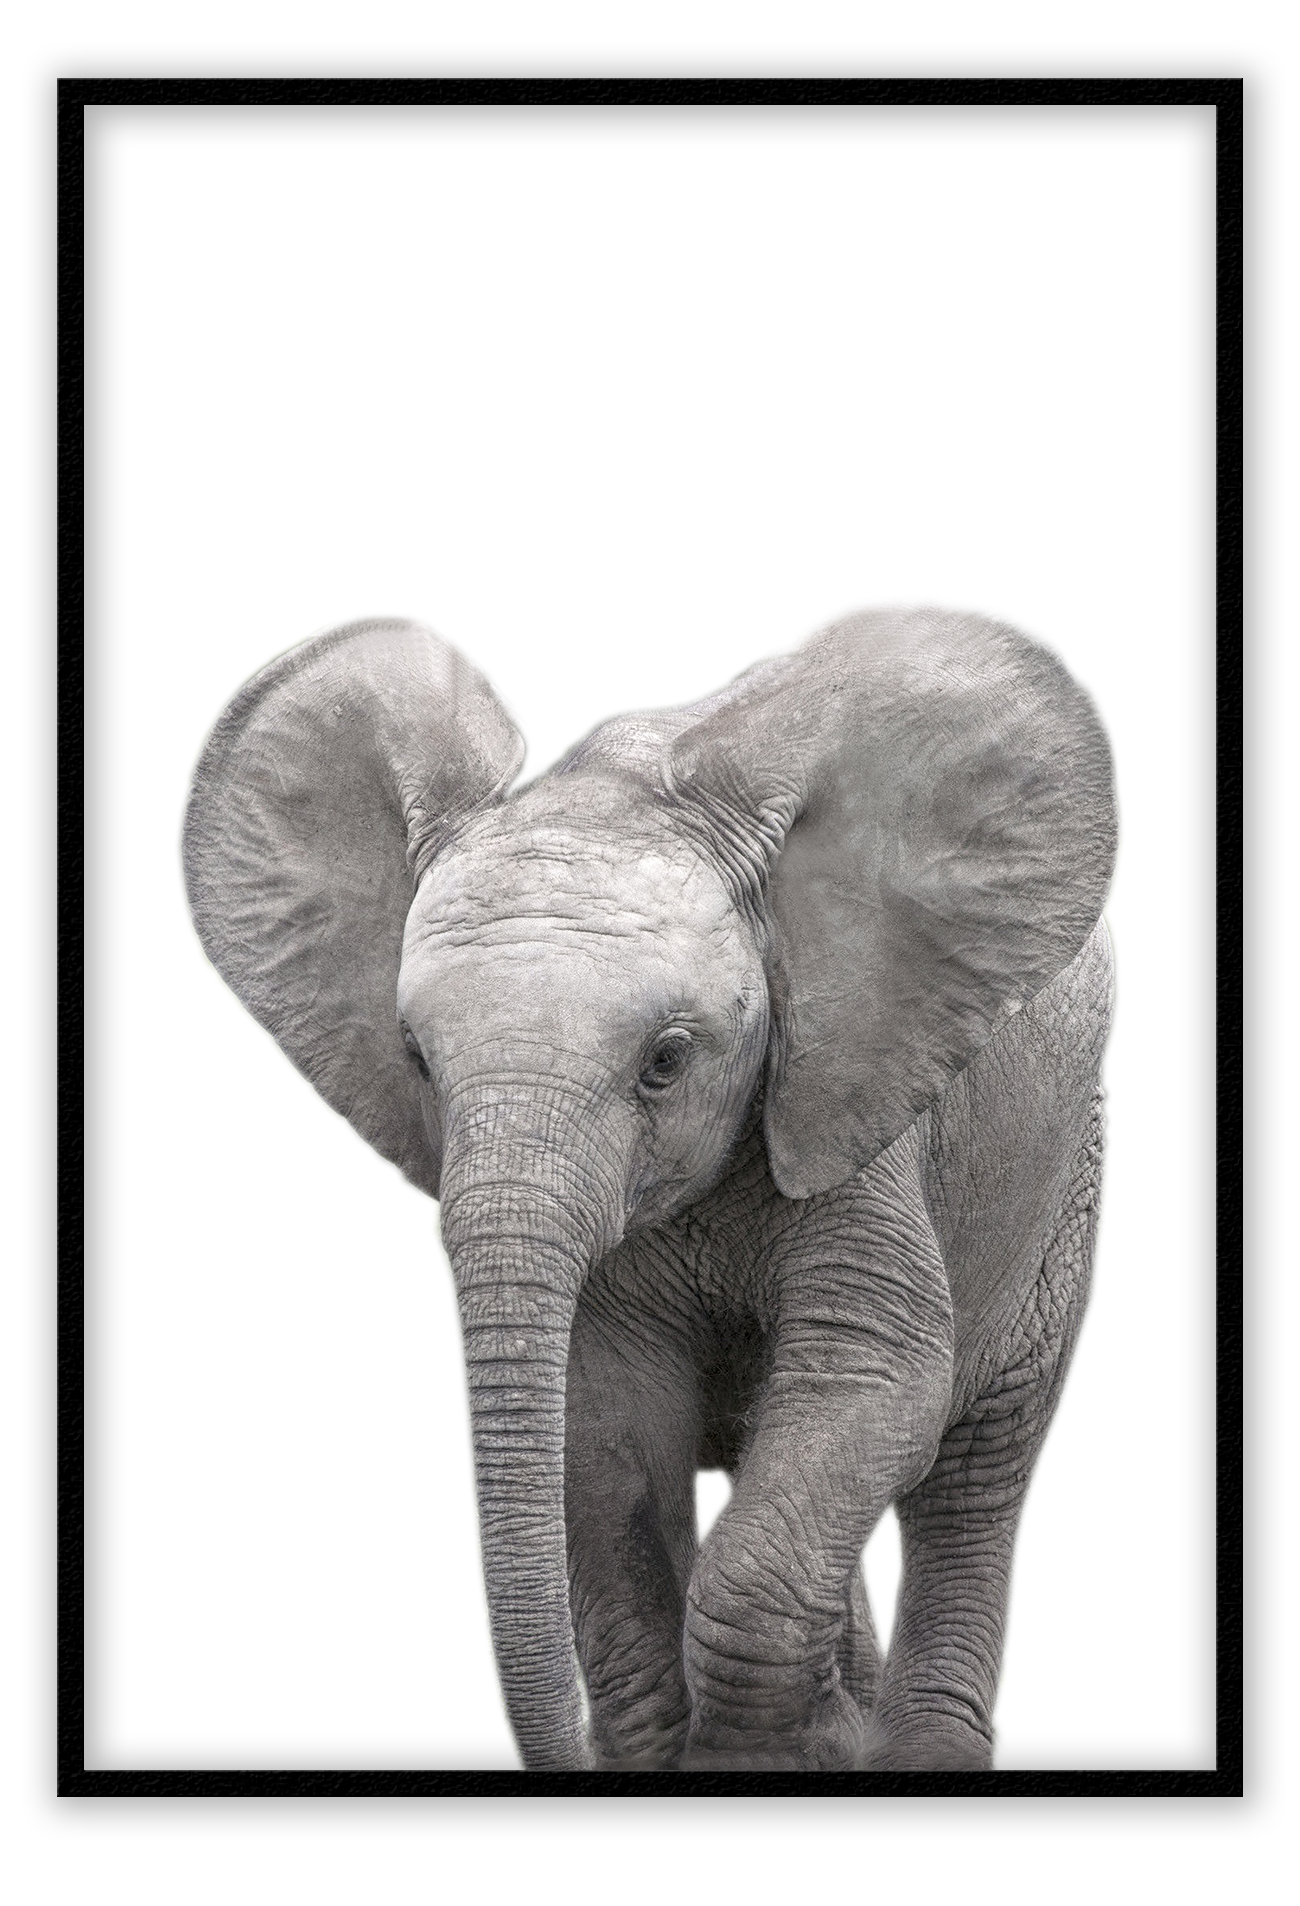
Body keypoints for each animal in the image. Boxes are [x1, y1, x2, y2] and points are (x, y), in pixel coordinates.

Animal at [183, 605, 1115, 1774]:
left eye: (666, 1060)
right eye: (417, 1060)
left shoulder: (856, 1105)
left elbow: (876, 1380)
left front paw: (778, 1750)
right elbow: (609, 1429)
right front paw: (732, 1742)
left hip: (1061, 1174)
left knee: (978, 1462)